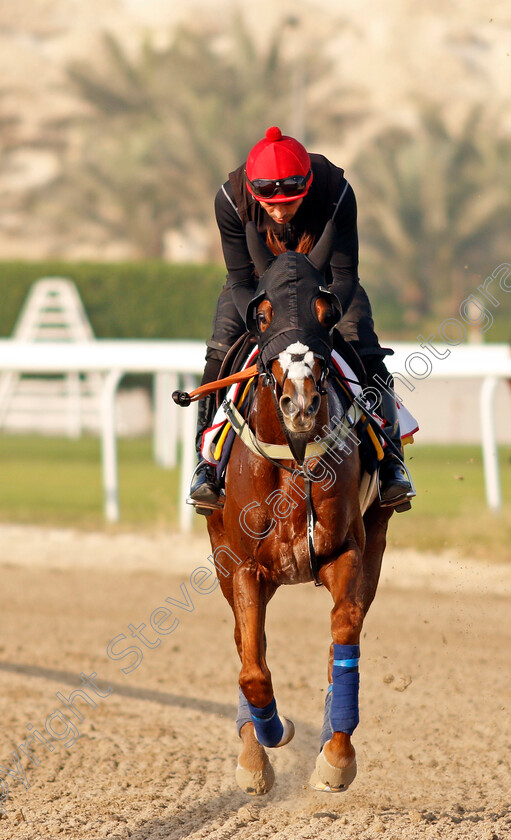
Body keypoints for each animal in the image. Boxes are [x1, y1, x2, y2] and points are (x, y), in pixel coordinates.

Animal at [204, 220, 392, 792]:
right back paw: (252, 751)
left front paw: (336, 756)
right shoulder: (242, 566)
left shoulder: (346, 552)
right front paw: (268, 737)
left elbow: (344, 638)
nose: (302, 403)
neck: (295, 454)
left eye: (326, 311)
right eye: (262, 312)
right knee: (245, 645)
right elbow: (251, 666)